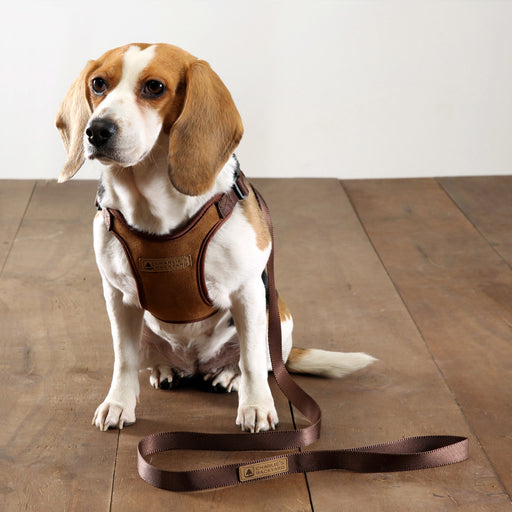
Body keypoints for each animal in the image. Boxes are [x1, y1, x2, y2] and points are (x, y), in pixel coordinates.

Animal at [56, 43, 375, 433]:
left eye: (154, 87)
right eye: (98, 84)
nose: (96, 130)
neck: (154, 202)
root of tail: (195, 362)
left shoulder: (247, 291)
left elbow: (252, 361)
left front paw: (256, 407)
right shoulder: (117, 296)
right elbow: (124, 359)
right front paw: (118, 403)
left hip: (276, 317)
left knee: (257, 362)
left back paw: (227, 375)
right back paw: (167, 367)